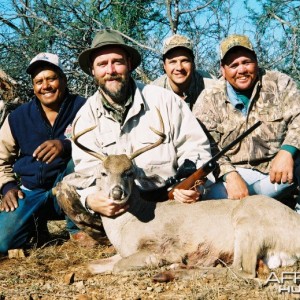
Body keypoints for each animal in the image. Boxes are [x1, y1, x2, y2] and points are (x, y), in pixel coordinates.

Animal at [54, 109, 300, 280]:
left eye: (129, 172)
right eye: (102, 173)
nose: (117, 192)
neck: (126, 226)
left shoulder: (161, 246)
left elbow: (117, 267)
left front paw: (161, 264)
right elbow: (93, 264)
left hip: (248, 223)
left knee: (244, 272)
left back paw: (172, 270)